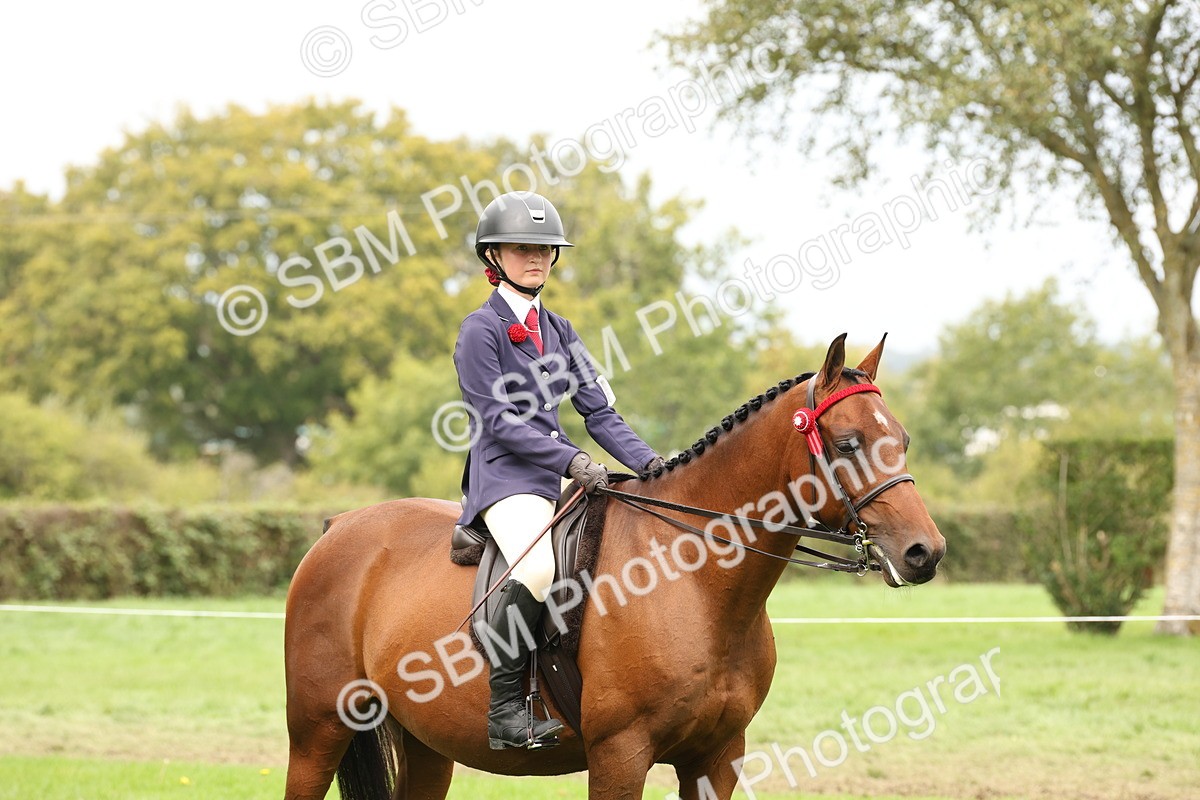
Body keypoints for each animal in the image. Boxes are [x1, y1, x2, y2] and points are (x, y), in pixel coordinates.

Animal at [282, 333, 946, 800]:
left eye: (904, 439)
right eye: (847, 444)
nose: (926, 552)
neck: (696, 582)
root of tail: (340, 526)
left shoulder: (717, 758)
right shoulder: (620, 756)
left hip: (424, 742)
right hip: (317, 733)